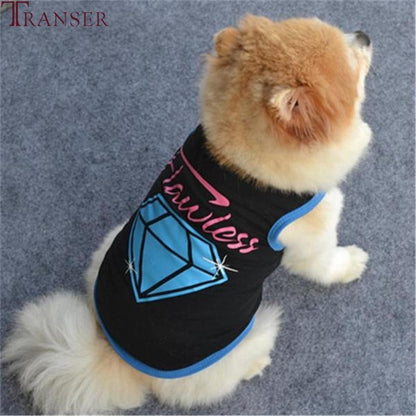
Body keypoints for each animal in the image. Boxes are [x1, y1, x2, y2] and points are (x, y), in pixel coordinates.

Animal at [3, 15, 373, 414]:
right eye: (351, 66)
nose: (365, 35)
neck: (240, 163)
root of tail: (123, 362)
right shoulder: (314, 234)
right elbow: (325, 264)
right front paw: (352, 264)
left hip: (109, 246)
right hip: (252, 332)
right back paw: (256, 364)